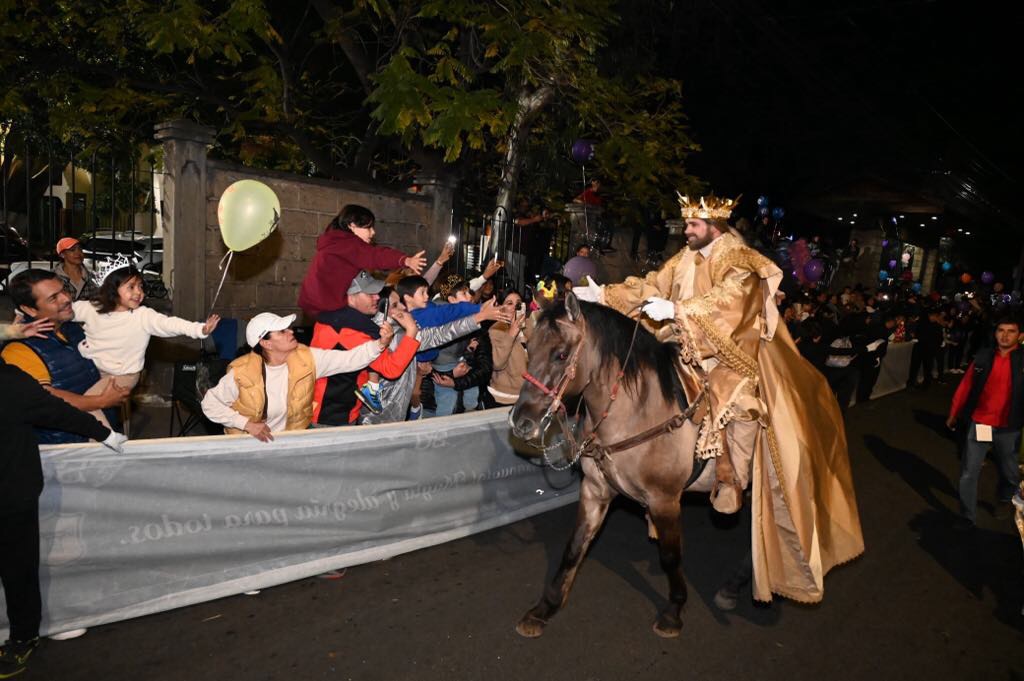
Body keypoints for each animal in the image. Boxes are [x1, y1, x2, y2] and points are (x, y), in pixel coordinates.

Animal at [507, 290, 733, 639]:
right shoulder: (596, 489)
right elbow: (575, 546)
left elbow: (670, 556)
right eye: (527, 347)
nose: (521, 423)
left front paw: (673, 612)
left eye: (561, 354)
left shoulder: (665, 499)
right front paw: (545, 607)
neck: (637, 412)